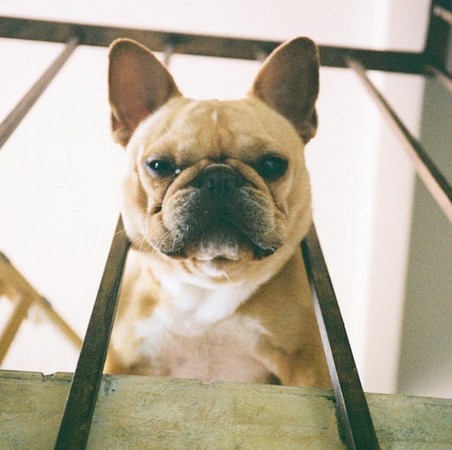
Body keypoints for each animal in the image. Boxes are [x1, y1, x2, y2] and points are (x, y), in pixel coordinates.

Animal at [105, 36, 330, 388]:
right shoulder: (122, 362)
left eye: (272, 164)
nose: (219, 179)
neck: (208, 285)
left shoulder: (308, 368)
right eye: (159, 165)